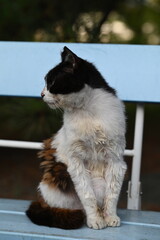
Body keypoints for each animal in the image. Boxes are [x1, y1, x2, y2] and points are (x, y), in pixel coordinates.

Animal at [26, 46, 127, 229]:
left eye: (51, 83)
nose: (41, 94)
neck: (87, 110)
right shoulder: (76, 161)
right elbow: (88, 196)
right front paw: (95, 221)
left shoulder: (116, 161)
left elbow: (112, 196)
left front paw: (111, 218)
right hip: (53, 183)